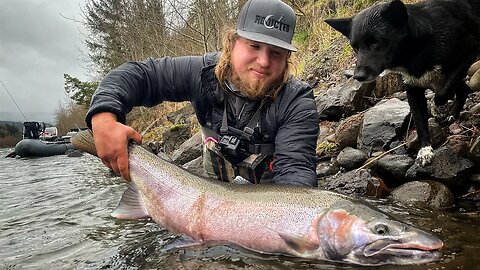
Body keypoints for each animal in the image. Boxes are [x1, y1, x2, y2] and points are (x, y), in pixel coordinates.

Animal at [324, 0, 480, 166]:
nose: (358, 76)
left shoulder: (468, 54)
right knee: (464, 88)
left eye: (375, 43)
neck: (415, 48)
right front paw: (425, 151)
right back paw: (453, 113)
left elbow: (441, 94)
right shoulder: (413, 90)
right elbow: (420, 123)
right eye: (355, 47)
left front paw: (437, 106)